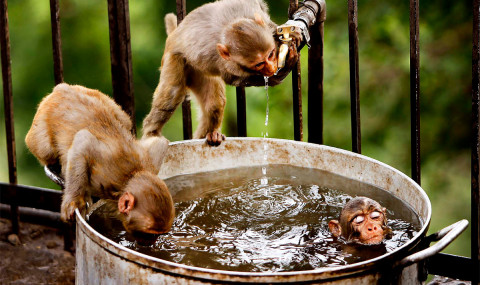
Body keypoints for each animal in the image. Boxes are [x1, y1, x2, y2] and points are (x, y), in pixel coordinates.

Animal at [24, 83, 174, 234]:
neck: (129, 176)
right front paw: (73, 201)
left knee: (124, 120)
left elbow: (160, 142)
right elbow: (83, 140)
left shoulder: (150, 162)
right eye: (149, 233)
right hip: (41, 124)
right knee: (46, 150)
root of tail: (62, 88)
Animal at [141, 0, 302, 145]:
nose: (271, 68)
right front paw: (282, 70)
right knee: (172, 93)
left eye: (270, 54)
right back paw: (151, 133)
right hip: (176, 59)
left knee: (214, 104)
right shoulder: (227, 65)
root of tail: (174, 34)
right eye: (259, 64)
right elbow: (235, 79)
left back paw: (210, 135)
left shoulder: (253, 10)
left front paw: (289, 36)